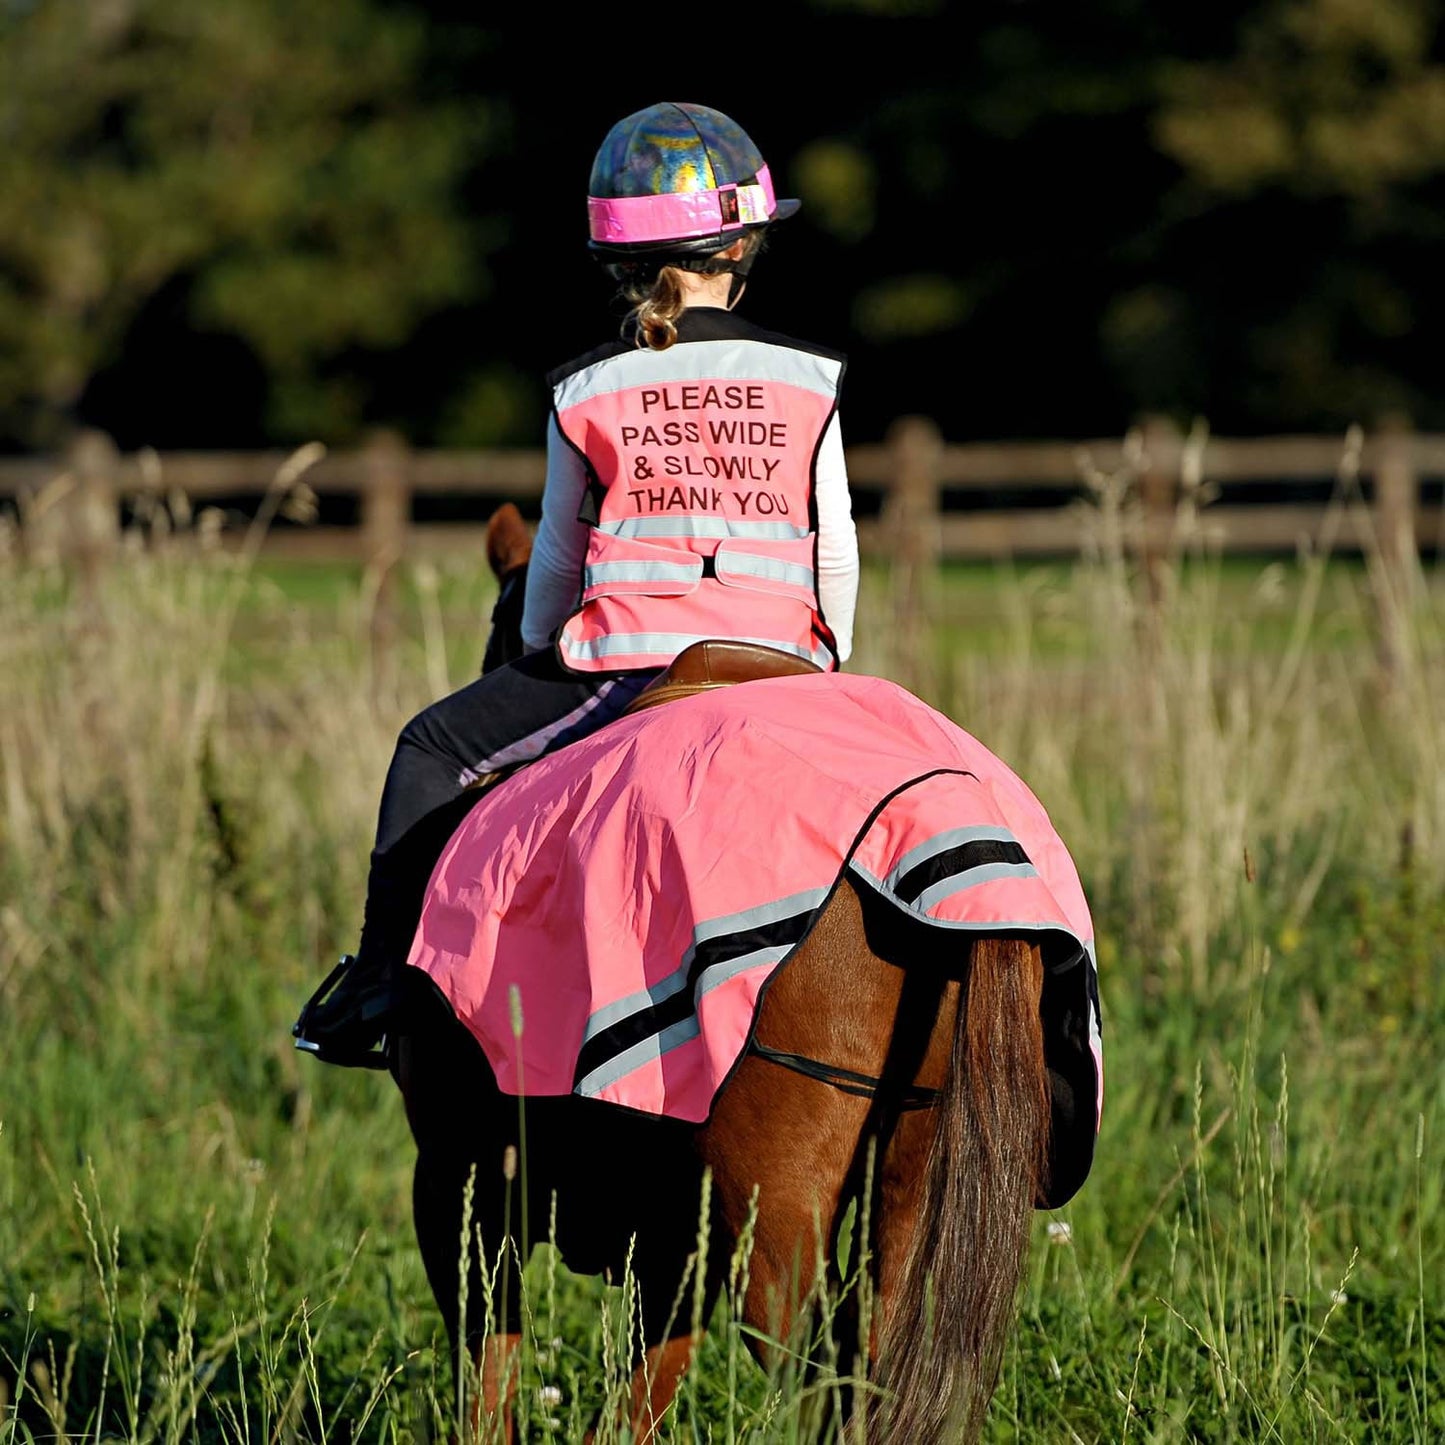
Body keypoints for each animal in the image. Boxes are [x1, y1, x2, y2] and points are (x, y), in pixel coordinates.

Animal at [390, 505, 1057, 1433]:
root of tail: (940, 811)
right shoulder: (671, 1235)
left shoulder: (461, 1175)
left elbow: (490, 1378)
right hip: (905, 1186)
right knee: (870, 1369)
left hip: (772, 1217)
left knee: (818, 1381)